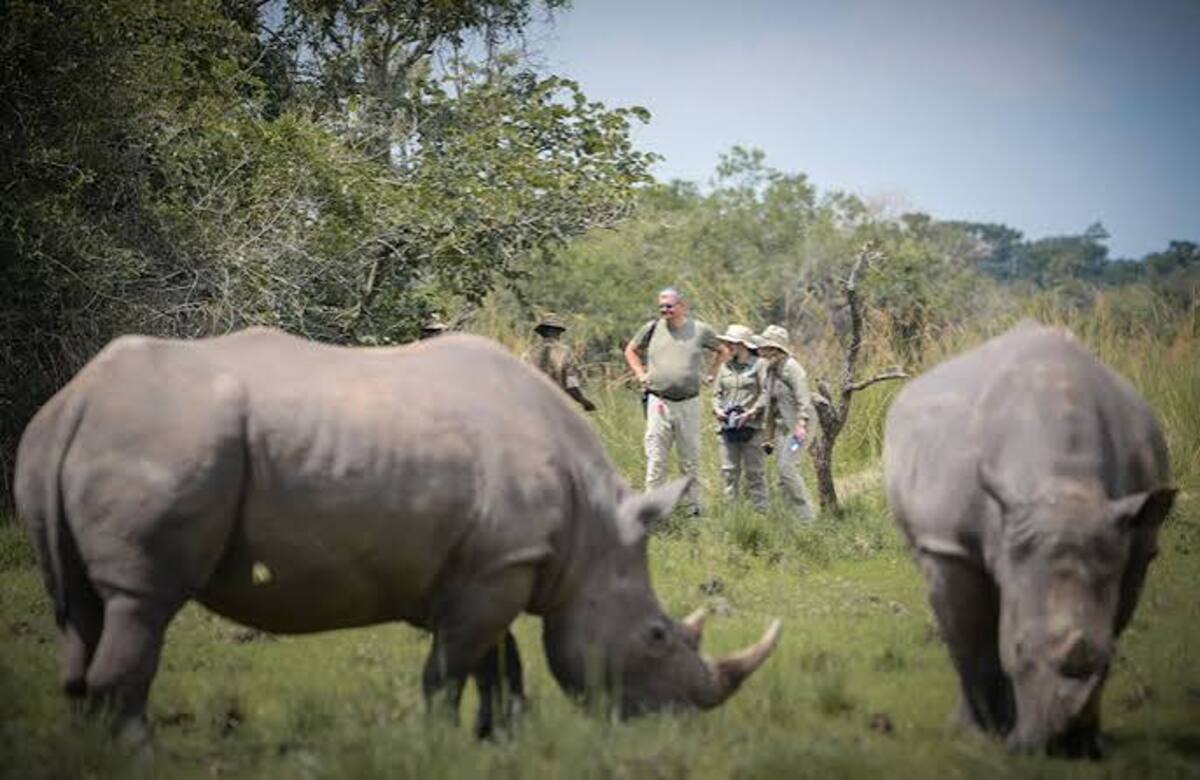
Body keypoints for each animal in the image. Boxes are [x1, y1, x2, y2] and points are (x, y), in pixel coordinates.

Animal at [15, 327, 780, 742]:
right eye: (656, 636)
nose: (677, 721)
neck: (593, 534)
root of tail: (77, 399)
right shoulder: (499, 567)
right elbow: (447, 671)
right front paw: (442, 743)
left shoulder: (495, 563)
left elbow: (498, 664)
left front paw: (499, 741)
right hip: (166, 440)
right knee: (142, 602)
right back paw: (136, 752)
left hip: (68, 444)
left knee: (79, 611)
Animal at [883, 323, 1175, 757]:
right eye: (1019, 648)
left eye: (1109, 657)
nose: (1057, 748)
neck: (1064, 488)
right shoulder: (950, 547)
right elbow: (974, 642)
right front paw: (980, 735)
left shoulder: (1133, 545)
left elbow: (1110, 622)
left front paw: (1090, 741)